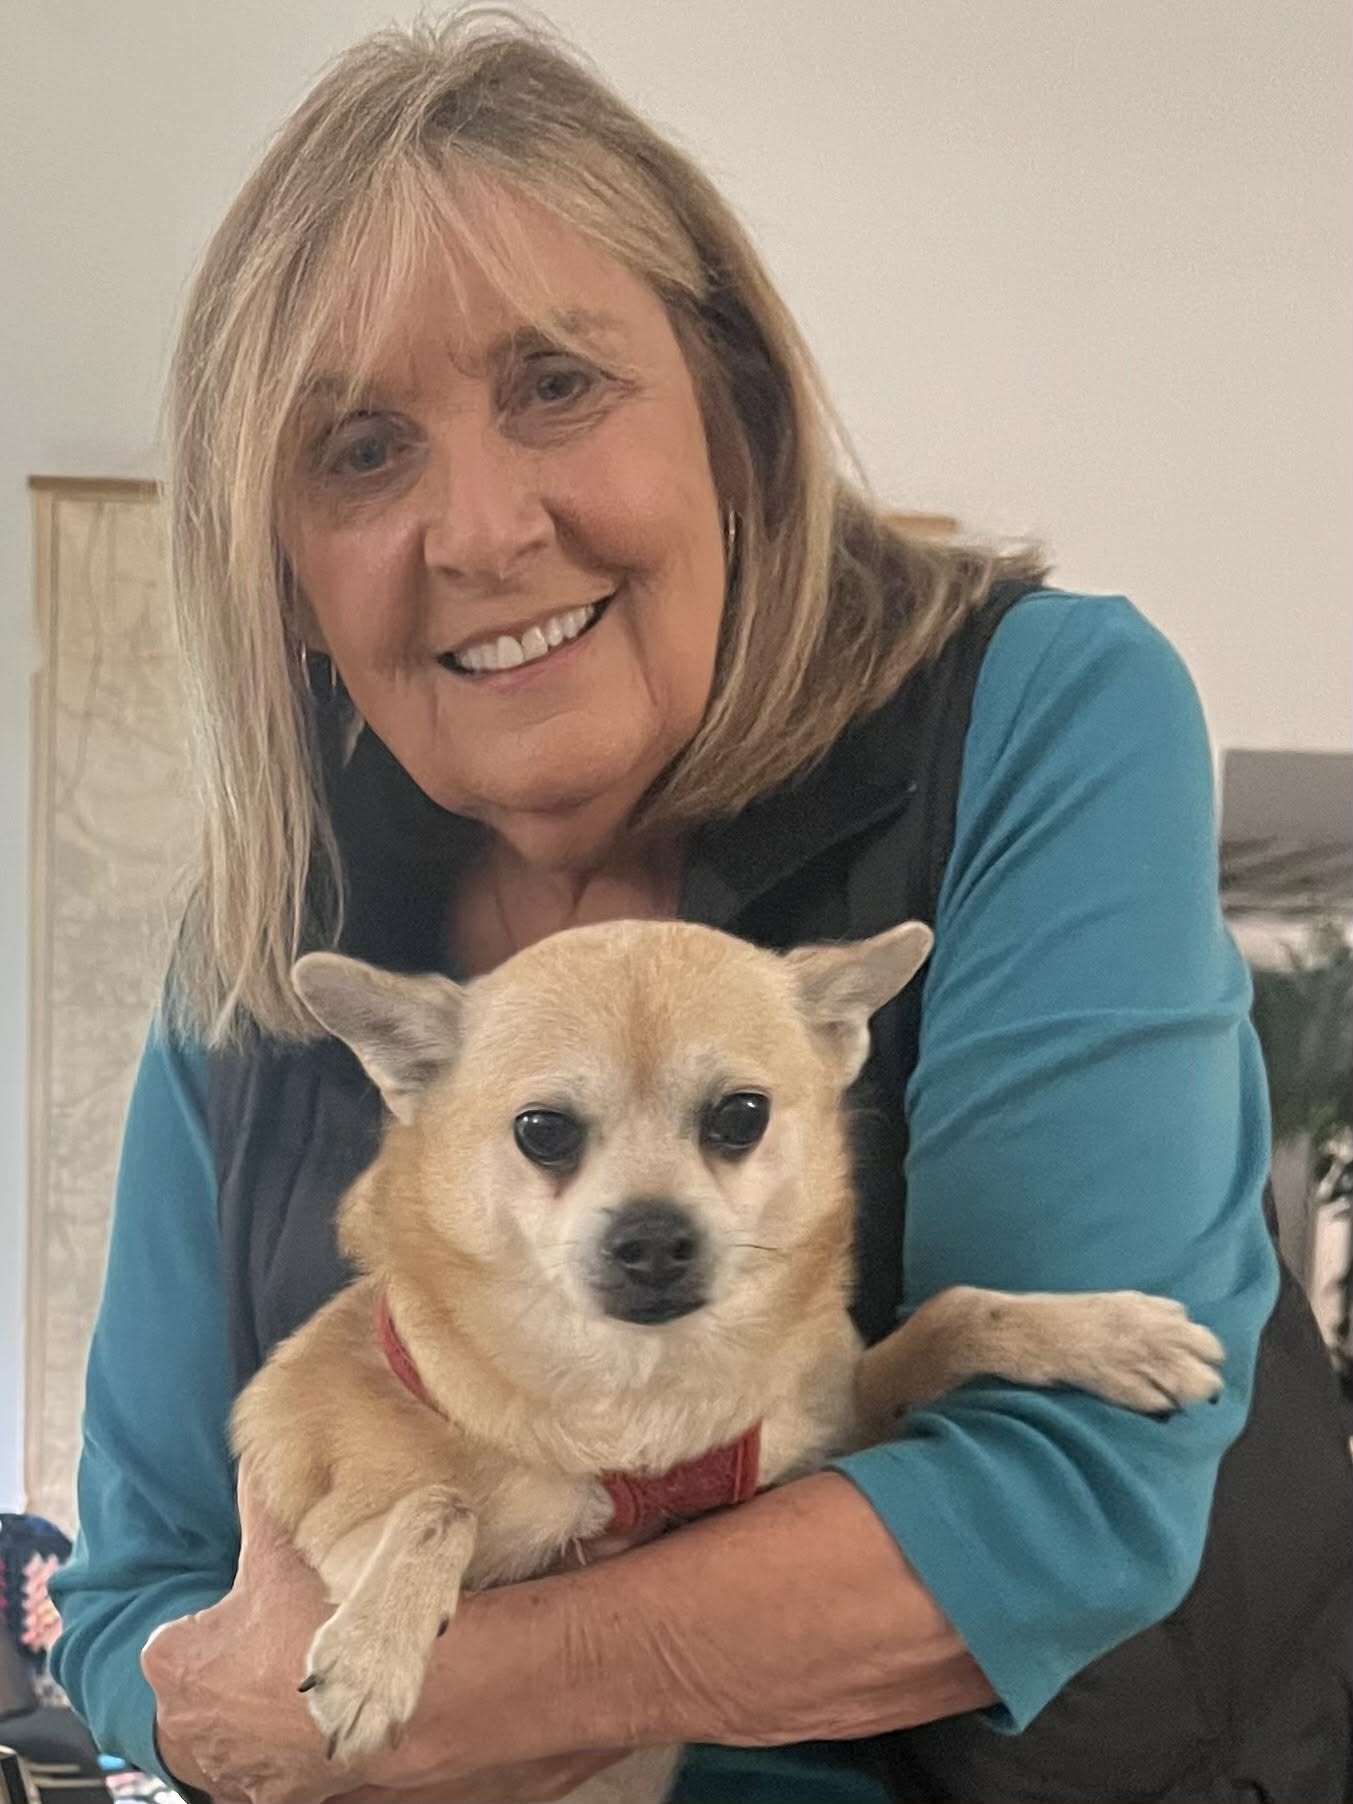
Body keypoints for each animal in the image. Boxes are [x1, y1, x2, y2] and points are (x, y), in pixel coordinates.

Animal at [231, 919, 1224, 1798]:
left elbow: (951, 1314)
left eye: (740, 1117)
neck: (643, 1389)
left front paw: (1114, 1335)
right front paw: (372, 1654)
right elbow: (440, 1505)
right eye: (542, 1131)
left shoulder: (834, 1438)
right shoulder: (341, 1532)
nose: (652, 1238)